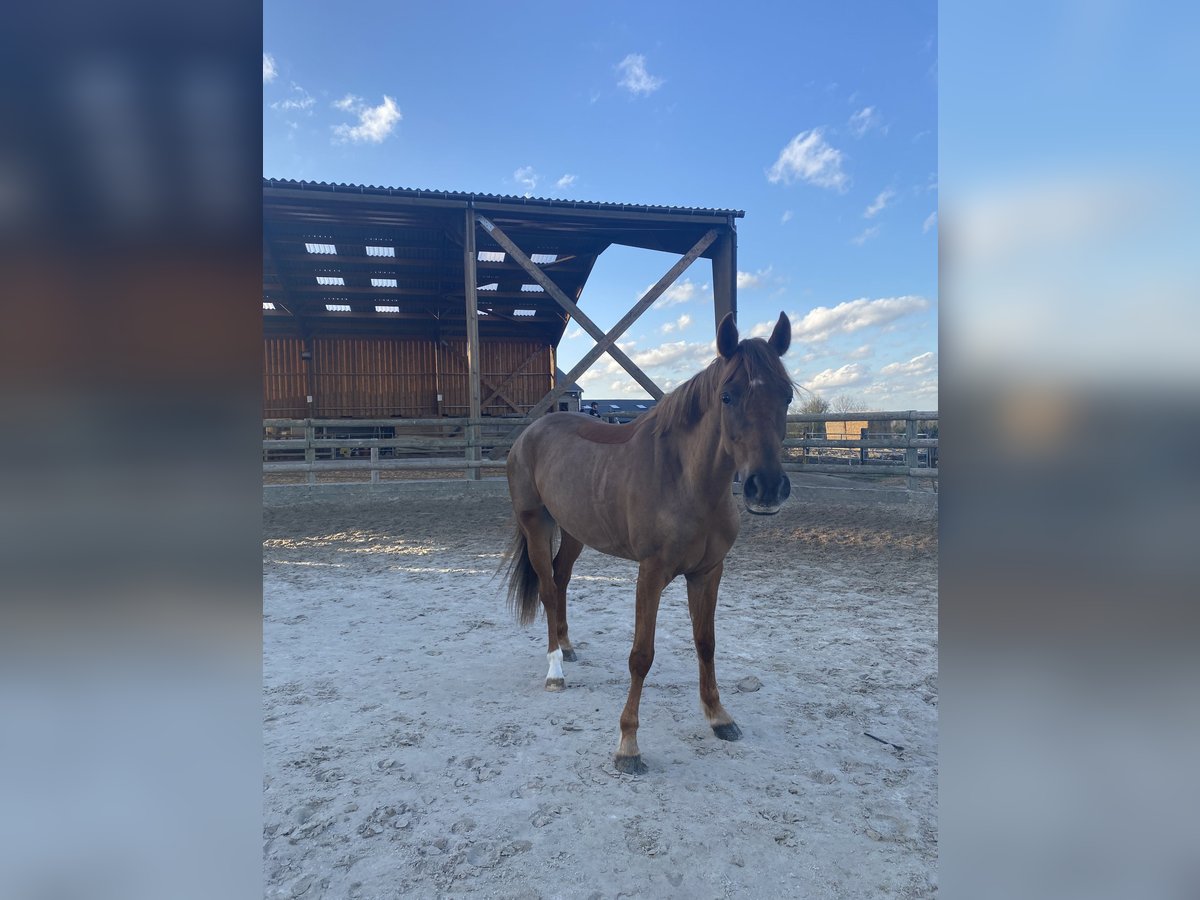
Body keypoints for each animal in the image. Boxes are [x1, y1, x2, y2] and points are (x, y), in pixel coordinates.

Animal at [501, 312, 792, 777]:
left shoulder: (708, 573)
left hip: (576, 532)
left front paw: (718, 716)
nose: (765, 487)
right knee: (547, 589)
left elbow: (706, 642)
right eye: (727, 396)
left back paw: (568, 647)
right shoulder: (650, 573)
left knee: (561, 582)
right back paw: (555, 670)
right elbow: (641, 655)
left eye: (786, 395)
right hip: (536, 527)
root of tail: (531, 433)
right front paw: (628, 744)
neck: (686, 481)